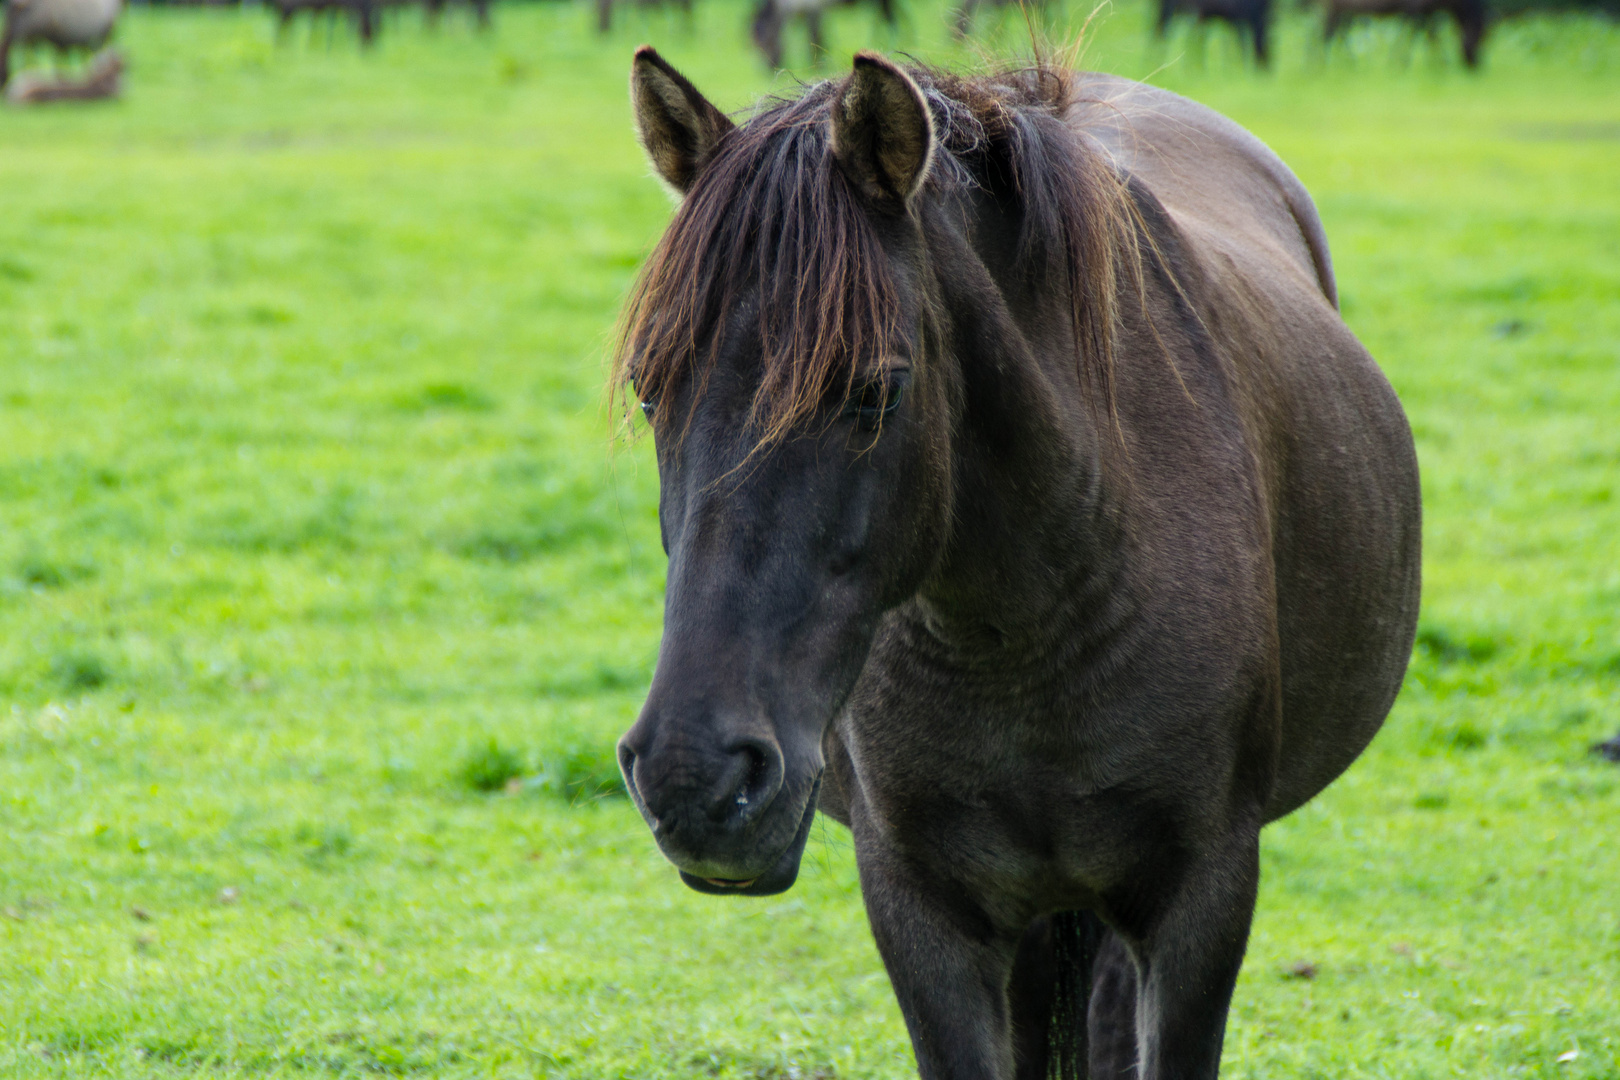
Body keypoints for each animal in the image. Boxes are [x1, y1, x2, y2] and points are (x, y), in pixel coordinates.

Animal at [748, 0, 900, 68]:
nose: (769, 68)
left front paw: (817, 65)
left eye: (763, 40)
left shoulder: (814, 10)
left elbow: (816, 39)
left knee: (889, 19)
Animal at [1321, 0, 1483, 67]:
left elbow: (1426, 36)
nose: (1475, 65)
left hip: (1345, 12)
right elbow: (1416, 36)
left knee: (1336, 34)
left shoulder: (1423, 12)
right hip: (1336, 8)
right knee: (1327, 35)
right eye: (1481, 37)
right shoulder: (1415, 10)